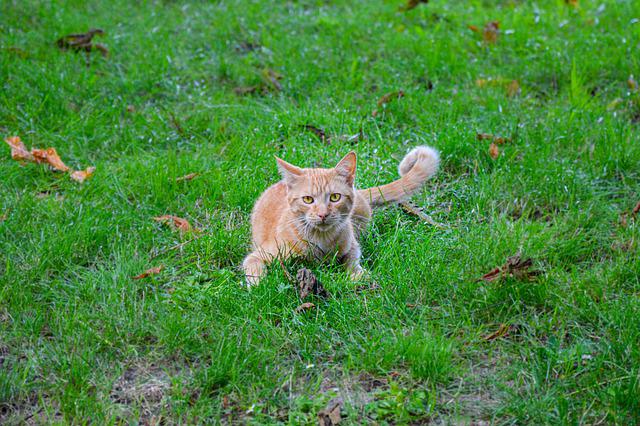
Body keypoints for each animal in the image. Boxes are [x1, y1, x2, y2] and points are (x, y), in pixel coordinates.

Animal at [241, 145, 440, 284]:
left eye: (335, 197)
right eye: (308, 199)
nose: (322, 214)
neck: (321, 240)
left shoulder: (353, 246)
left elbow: (352, 261)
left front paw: (358, 275)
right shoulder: (258, 256)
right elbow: (254, 271)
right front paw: (259, 287)